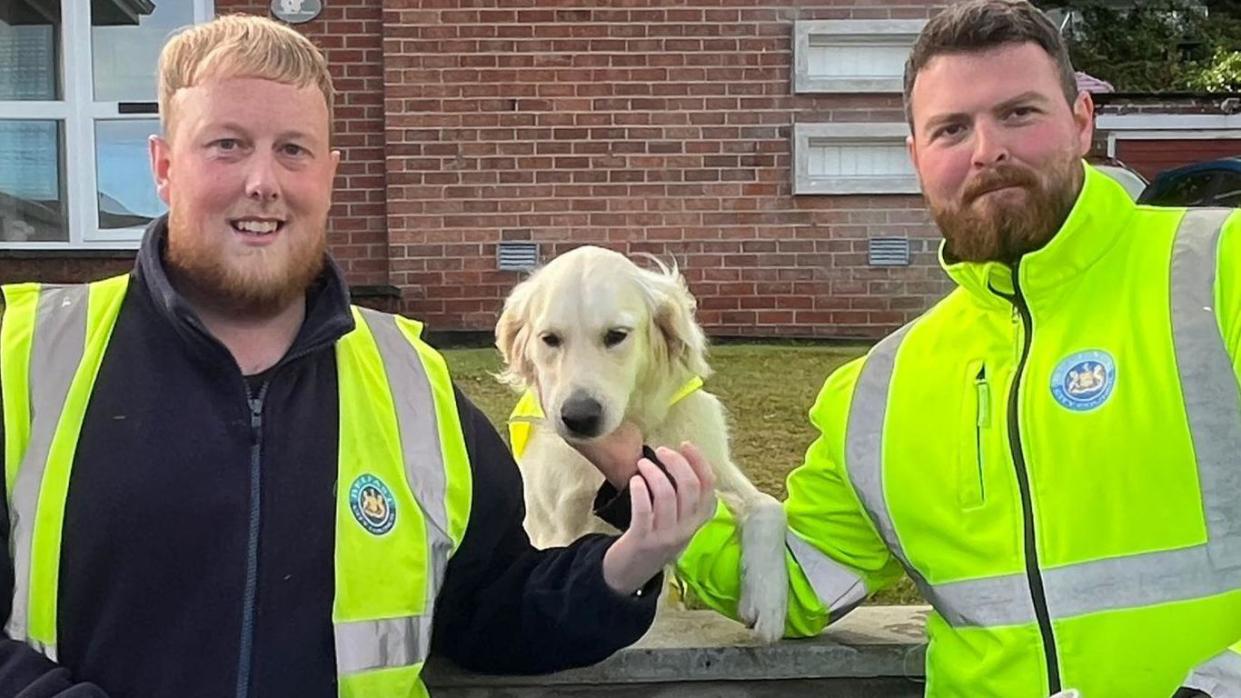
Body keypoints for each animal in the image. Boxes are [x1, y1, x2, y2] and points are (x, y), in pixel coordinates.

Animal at [491, 244, 784, 640]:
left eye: (616, 335)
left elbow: (768, 506)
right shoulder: (558, 526)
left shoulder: (709, 468)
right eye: (549, 339)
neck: (633, 423)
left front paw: (769, 600)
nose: (580, 418)